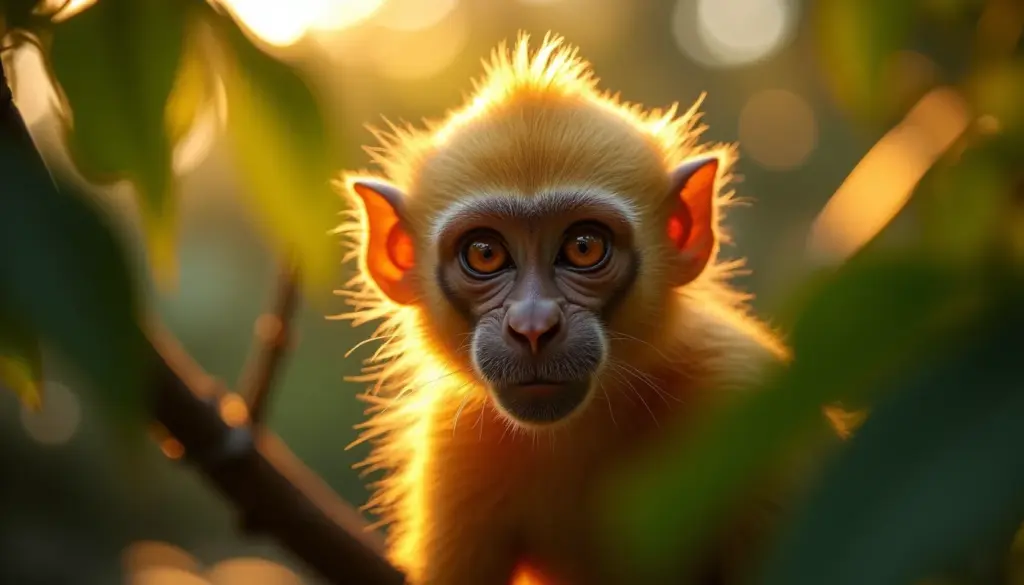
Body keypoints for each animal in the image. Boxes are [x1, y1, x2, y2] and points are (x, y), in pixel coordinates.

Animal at [332, 32, 815, 585]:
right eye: (485, 253)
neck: (582, 426)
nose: (533, 326)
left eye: (584, 247)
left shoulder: (745, 388)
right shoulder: (456, 445)